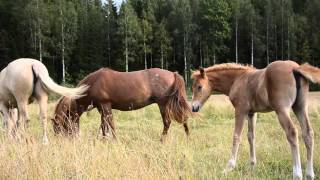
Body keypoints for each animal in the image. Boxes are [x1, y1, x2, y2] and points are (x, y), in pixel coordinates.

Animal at [51, 67, 191, 141]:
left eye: (58, 127)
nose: (61, 142)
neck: (93, 83)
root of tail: (173, 74)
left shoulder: (105, 106)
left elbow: (110, 124)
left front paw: (114, 140)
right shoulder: (101, 109)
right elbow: (104, 125)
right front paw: (104, 139)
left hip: (163, 104)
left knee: (167, 122)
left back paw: (162, 140)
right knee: (183, 118)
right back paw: (188, 136)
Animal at [190, 60, 318, 180]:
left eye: (199, 87)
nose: (194, 107)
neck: (237, 79)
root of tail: (295, 68)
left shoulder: (240, 110)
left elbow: (236, 136)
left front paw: (229, 167)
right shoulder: (252, 113)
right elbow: (251, 136)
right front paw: (252, 165)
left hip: (282, 110)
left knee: (292, 133)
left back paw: (297, 174)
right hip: (300, 107)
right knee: (308, 133)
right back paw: (309, 174)